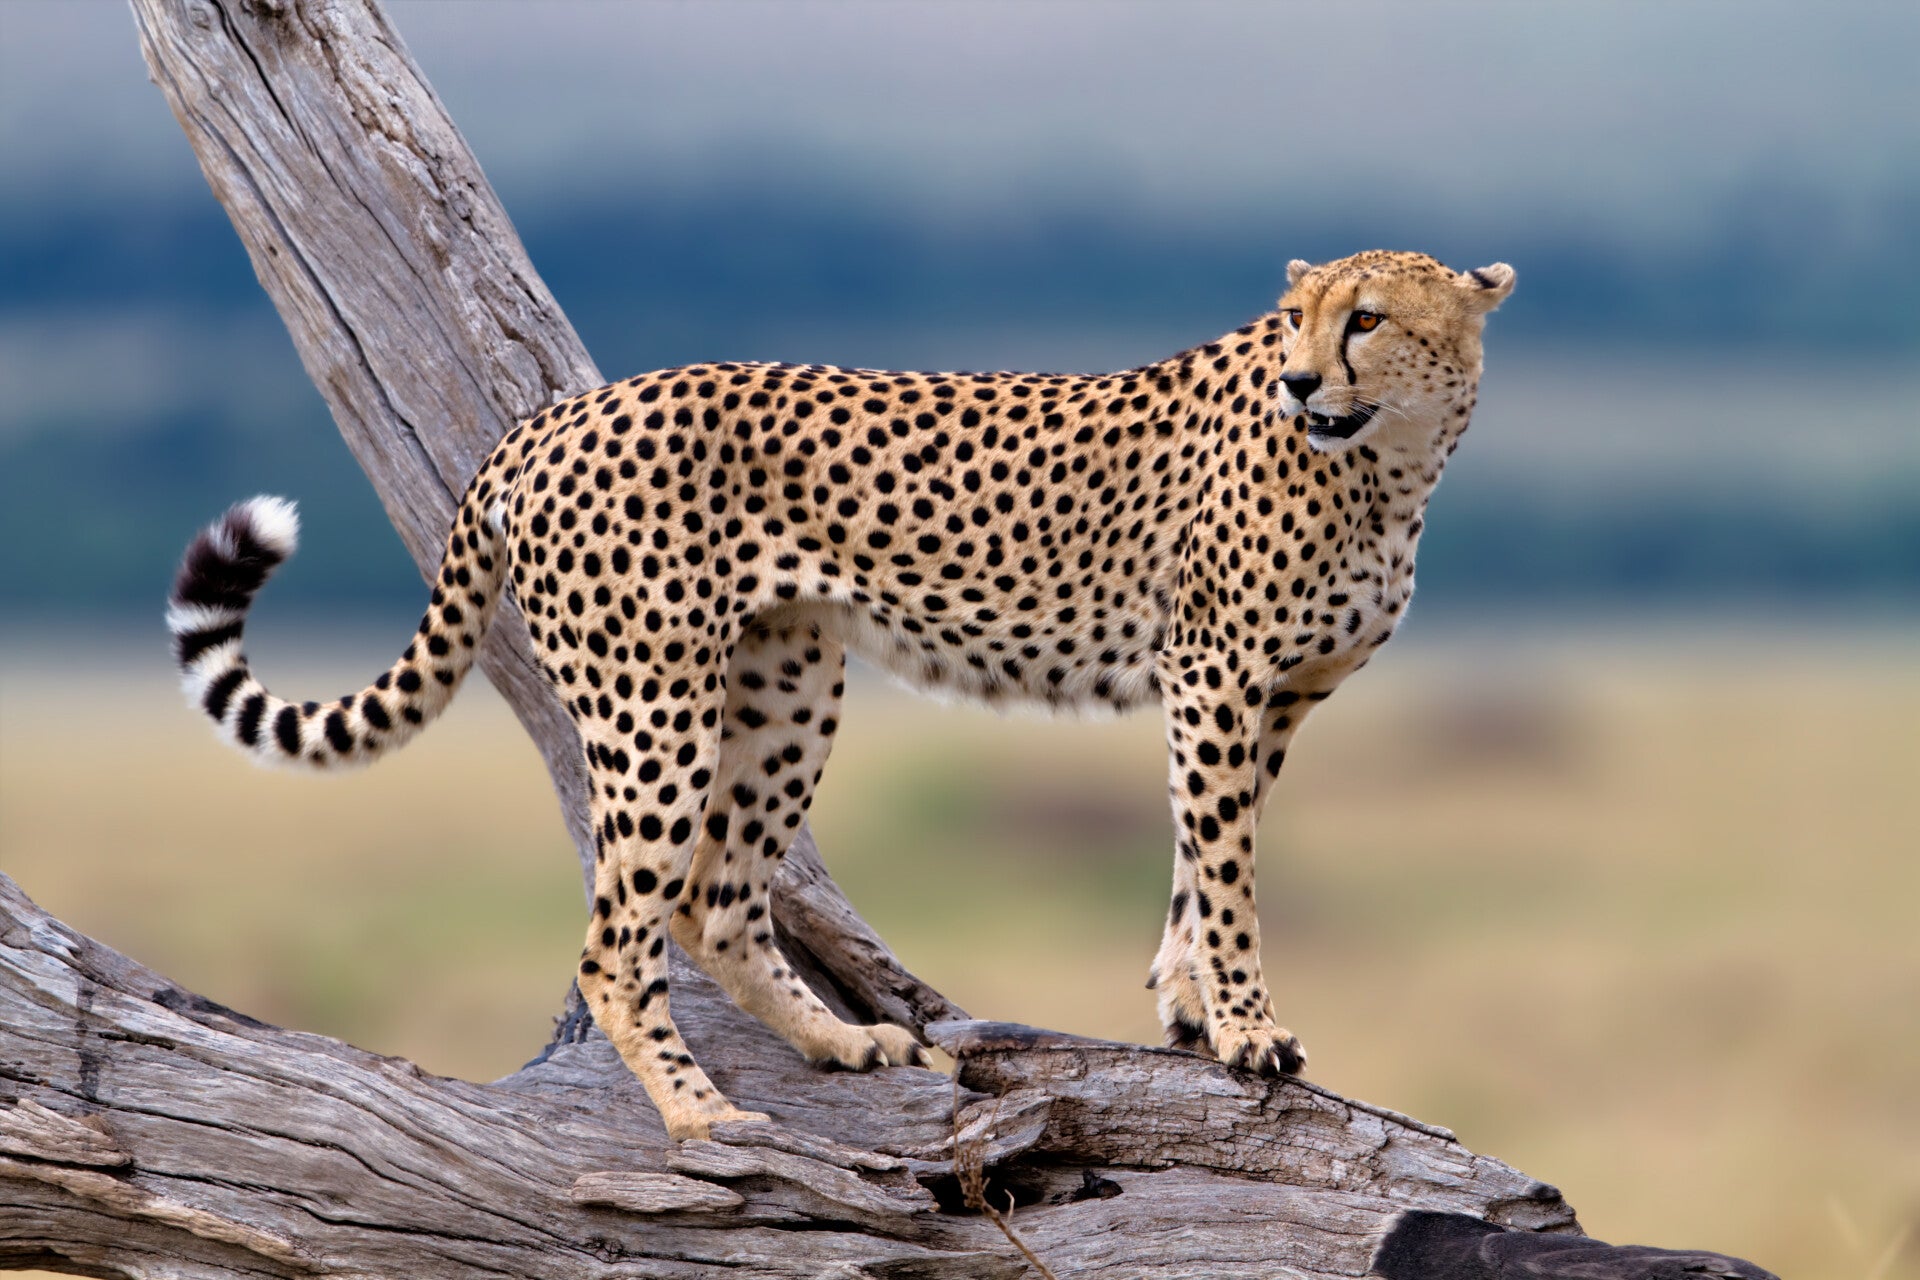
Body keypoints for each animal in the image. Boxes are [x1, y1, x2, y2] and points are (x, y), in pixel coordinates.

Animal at [168, 250, 1513, 1140]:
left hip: (786, 682)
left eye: (1368, 318)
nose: (1298, 382)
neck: (1387, 462)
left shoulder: (1271, 696)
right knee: (618, 940)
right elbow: (1229, 871)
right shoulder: (1220, 679)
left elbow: (1200, 862)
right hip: (654, 705)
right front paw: (1246, 1029)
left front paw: (1187, 1008)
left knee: (713, 898)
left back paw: (837, 1038)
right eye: (1294, 319)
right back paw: (702, 1114)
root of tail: (551, 415)